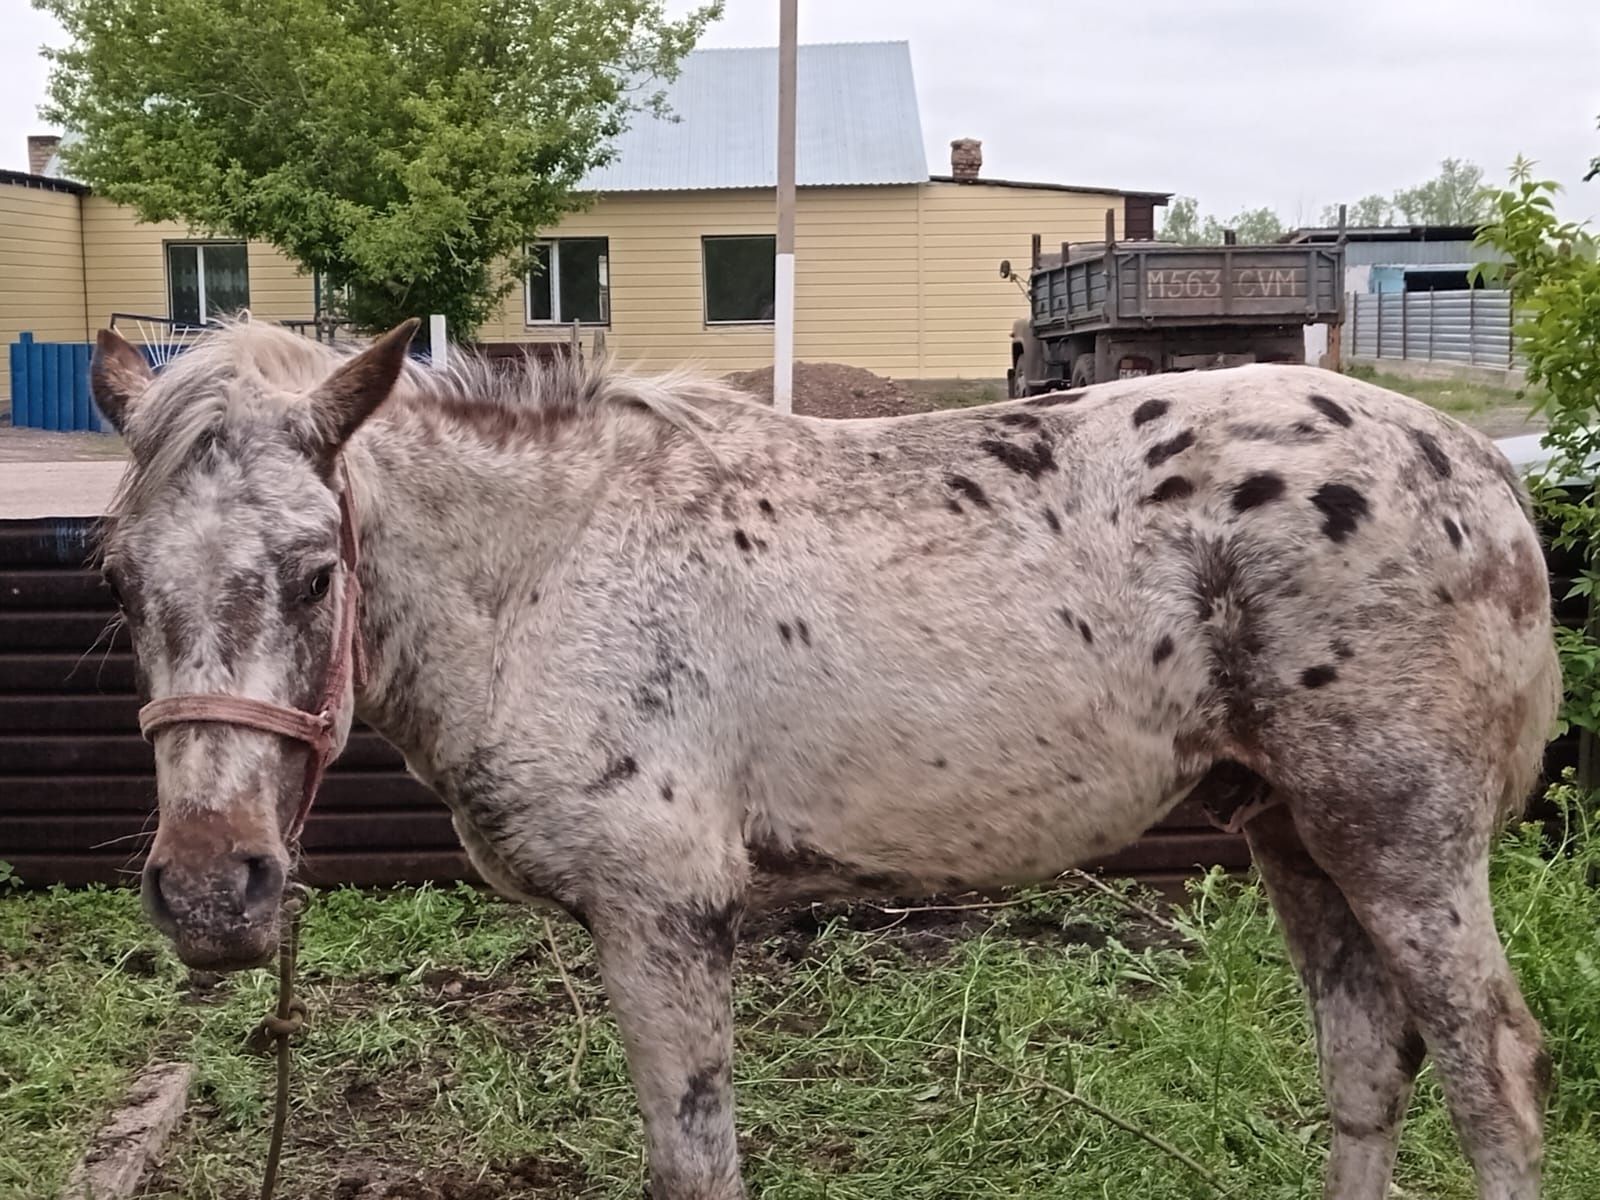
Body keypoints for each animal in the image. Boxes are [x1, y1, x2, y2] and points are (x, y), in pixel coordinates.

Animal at [93, 321, 1555, 1200]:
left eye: (314, 573)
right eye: (116, 580)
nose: (213, 891)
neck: (553, 572)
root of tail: (1482, 475)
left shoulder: (665, 917)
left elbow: (695, 1162)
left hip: (1400, 840)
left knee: (1491, 1079)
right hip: (1294, 831)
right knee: (1365, 1062)